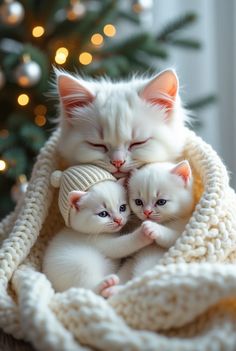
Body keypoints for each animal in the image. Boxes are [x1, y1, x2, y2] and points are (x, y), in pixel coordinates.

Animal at [102, 162, 195, 296]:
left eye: (161, 202)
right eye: (138, 202)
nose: (147, 212)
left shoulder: (184, 232)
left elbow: (173, 237)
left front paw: (152, 228)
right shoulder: (132, 256)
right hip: (131, 264)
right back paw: (109, 288)